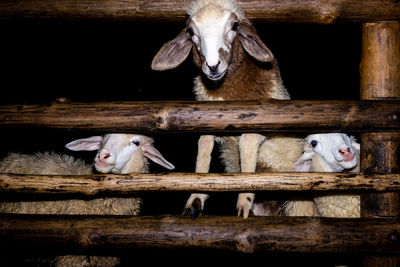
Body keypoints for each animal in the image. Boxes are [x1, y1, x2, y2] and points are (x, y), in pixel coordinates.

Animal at [151, 0, 294, 219]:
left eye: (234, 26)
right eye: (191, 31)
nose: (212, 66)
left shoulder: (266, 124)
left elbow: (246, 143)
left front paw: (244, 200)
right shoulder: (208, 122)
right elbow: (203, 147)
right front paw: (195, 199)